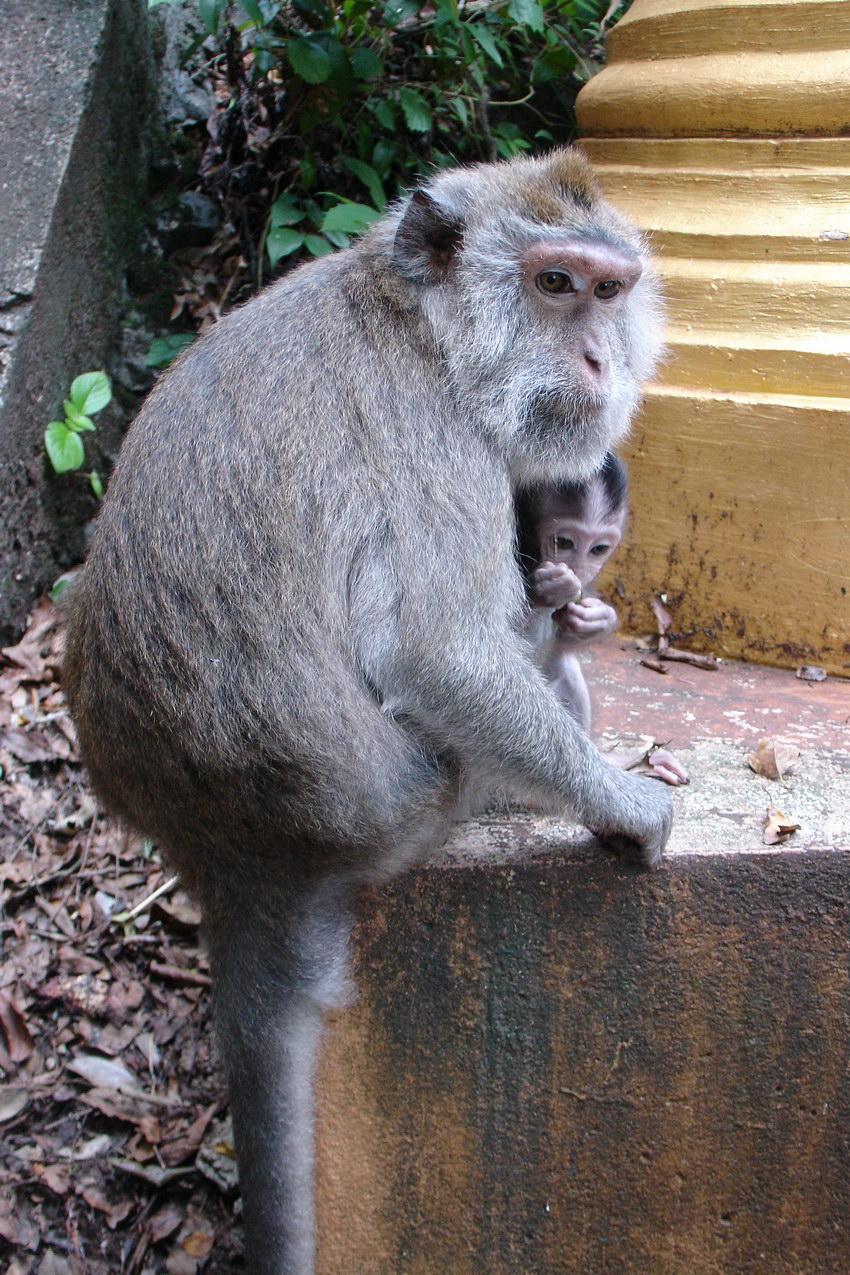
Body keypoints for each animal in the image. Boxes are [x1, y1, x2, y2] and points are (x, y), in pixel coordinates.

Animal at [64, 151, 672, 1275]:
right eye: (554, 283)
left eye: (610, 291)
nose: (598, 358)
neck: (420, 325)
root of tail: (236, 849)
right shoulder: (438, 443)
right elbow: (439, 650)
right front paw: (626, 801)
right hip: (417, 800)